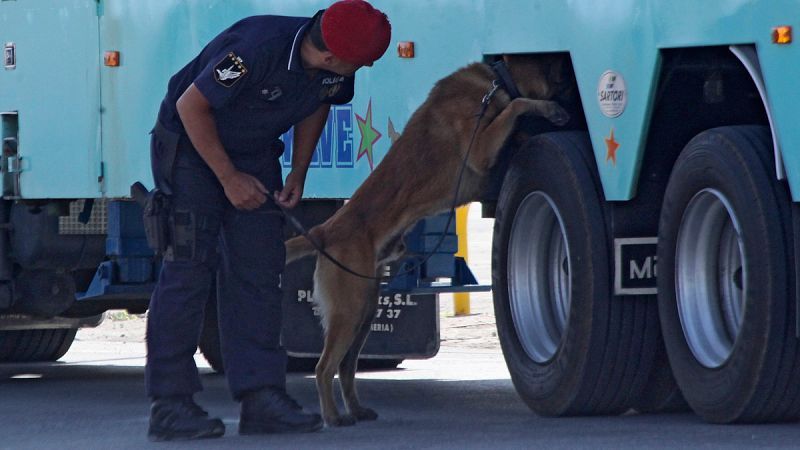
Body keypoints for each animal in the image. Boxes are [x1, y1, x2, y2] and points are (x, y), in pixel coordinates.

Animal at [284, 54, 572, 428]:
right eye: (563, 74)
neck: (498, 78)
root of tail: (326, 230)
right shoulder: (481, 147)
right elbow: (517, 105)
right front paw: (548, 109)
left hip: (364, 310)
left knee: (346, 367)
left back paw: (356, 410)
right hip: (349, 310)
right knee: (324, 367)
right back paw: (334, 416)